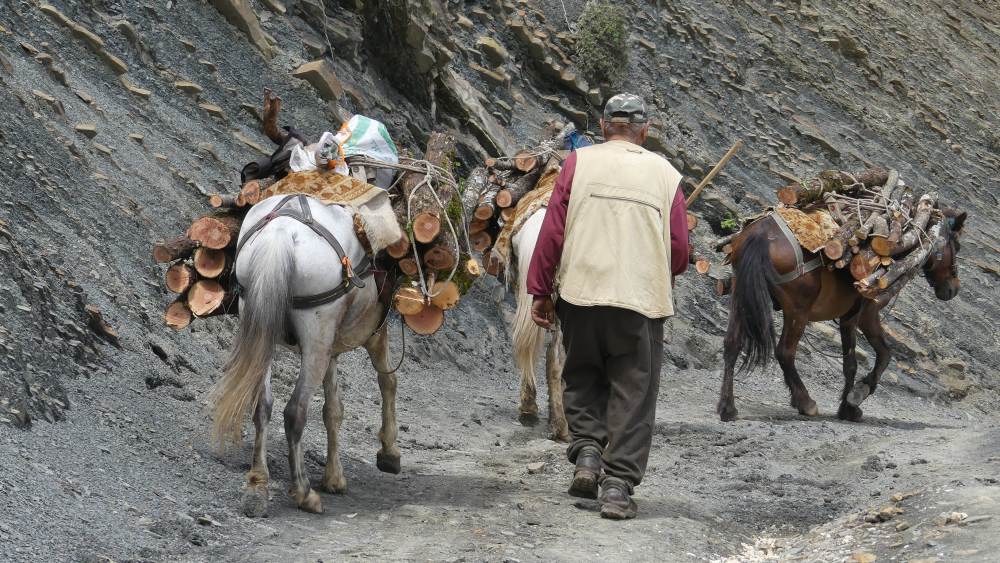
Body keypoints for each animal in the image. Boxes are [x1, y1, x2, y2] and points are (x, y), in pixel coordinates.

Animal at [209, 194, 400, 516]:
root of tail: (283, 232)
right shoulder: (372, 330)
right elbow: (387, 381)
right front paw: (389, 453)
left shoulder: (331, 346)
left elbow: (333, 409)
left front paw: (334, 477)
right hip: (315, 338)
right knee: (295, 411)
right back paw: (304, 493)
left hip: (263, 328)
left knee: (263, 405)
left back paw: (257, 486)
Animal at [716, 209, 964, 420]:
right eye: (957, 246)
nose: (953, 289)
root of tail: (761, 233)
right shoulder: (864, 316)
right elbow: (880, 356)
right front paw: (854, 399)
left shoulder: (848, 319)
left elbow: (853, 363)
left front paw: (847, 405)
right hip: (797, 311)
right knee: (785, 352)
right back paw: (806, 403)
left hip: (741, 298)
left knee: (732, 344)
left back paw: (727, 408)